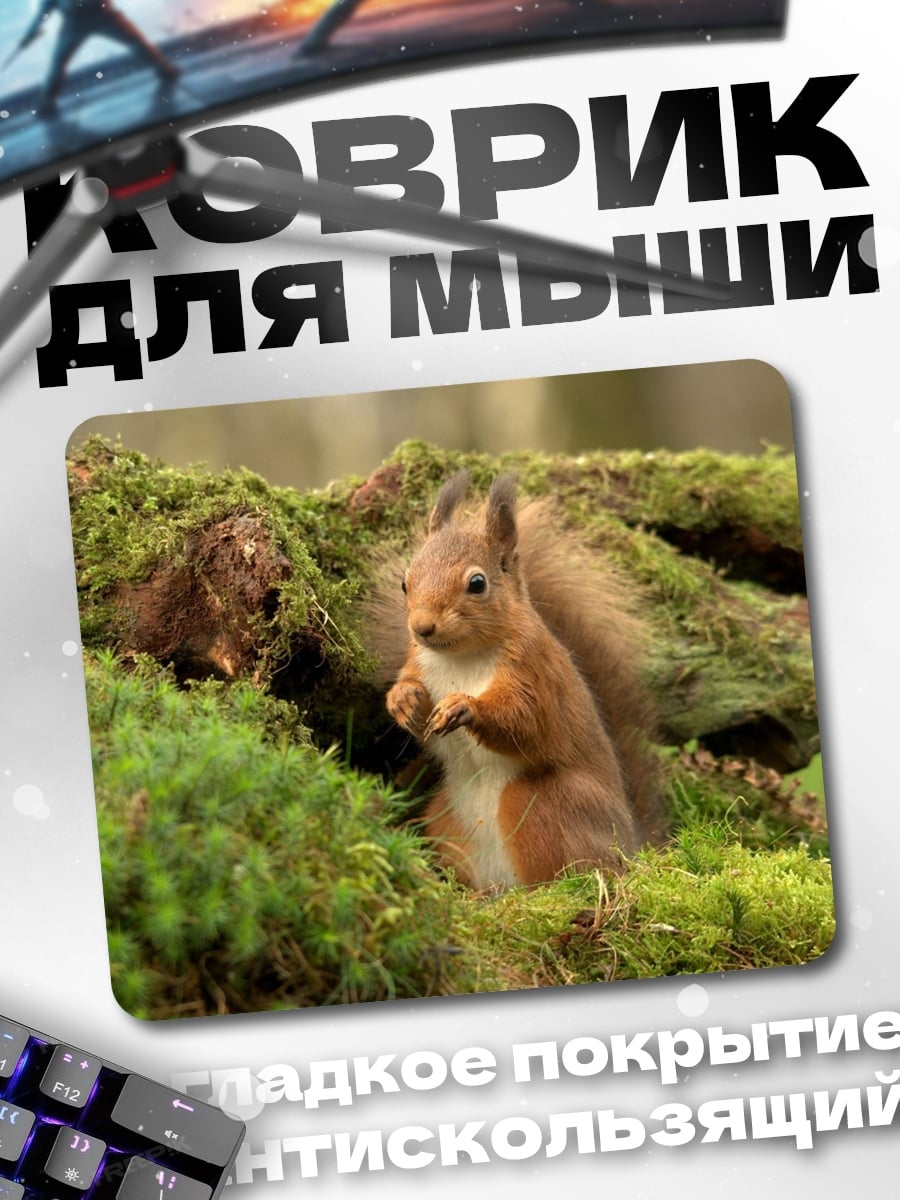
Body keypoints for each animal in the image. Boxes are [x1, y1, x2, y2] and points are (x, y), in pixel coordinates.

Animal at [370, 470, 665, 890]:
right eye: (405, 583)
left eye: (477, 583)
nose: (422, 627)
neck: (461, 658)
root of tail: (629, 842)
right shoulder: (419, 662)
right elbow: (411, 687)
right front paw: (403, 700)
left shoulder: (534, 672)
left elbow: (526, 720)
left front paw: (465, 706)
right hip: (446, 821)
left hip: (540, 804)